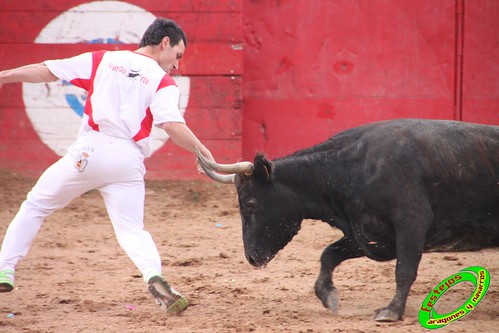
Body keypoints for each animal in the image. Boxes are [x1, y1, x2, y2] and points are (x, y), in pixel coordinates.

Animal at [196, 118, 499, 320]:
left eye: (249, 203)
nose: (252, 257)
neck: (351, 167)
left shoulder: (411, 223)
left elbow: (404, 270)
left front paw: (391, 311)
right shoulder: (366, 233)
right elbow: (329, 254)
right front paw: (327, 295)